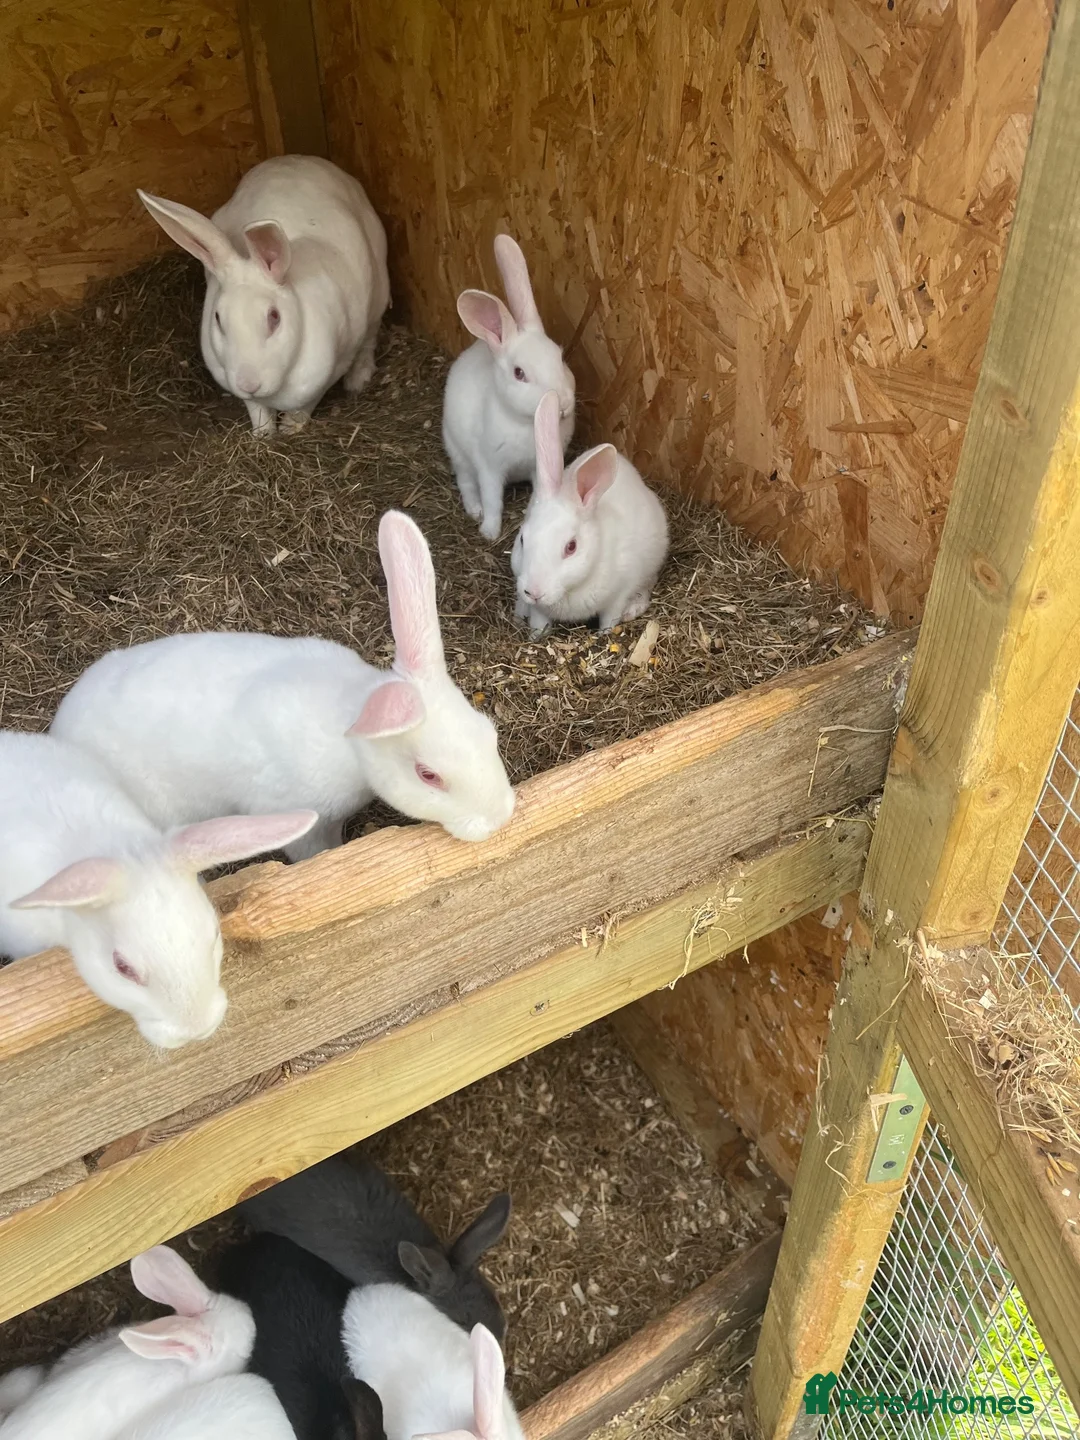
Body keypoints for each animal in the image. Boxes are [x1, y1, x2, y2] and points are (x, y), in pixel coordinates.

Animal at [51, 513, 515, 857]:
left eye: (488, 732)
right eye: (428, 775)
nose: (499, 818)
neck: (351, 733)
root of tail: (61, 728)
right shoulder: (304, 820)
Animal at [138, 155, 389, 437]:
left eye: (274, 317)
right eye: (218, 318)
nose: (249, 384)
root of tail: (300, 158)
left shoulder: (328, 373)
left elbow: (305, 407)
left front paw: (290, 428)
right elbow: (258, 411)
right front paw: (263, 436)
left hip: (378, 294)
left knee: (370, 336)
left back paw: (359, 380)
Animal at [443, 234, 575, 540]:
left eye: (560, 357)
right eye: (519, 373)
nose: (564, 404)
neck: (524, 423)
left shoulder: (541, 468)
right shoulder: (489, 467)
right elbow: (493, 500)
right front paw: (489, 531)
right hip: (458, 452)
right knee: (466, 483)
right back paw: (474, 511)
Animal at [511, 390, 669, 634]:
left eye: (571, 547)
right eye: (521, 539)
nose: (534, 592)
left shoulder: (618, 594)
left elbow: (610, 618)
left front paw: (604, 634)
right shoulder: (539, 610)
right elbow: (539, 623)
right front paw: (536, 636)